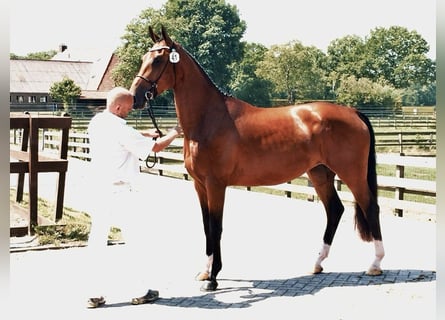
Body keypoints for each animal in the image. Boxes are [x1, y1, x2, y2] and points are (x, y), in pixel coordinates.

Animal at [128, 26, 382, 292]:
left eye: (158, 60)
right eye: (143, 58)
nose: (135, 97)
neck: (209, 119)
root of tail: (353, 112)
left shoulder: (215, 185)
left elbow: (216, 227)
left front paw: (214, 278)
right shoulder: (199, 185)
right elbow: (207, 227)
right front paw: (205, 272)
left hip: (351, 173)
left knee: (370, 207)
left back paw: (375, 265)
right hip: (320, 173)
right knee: (334, 210)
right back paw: (317, 263)